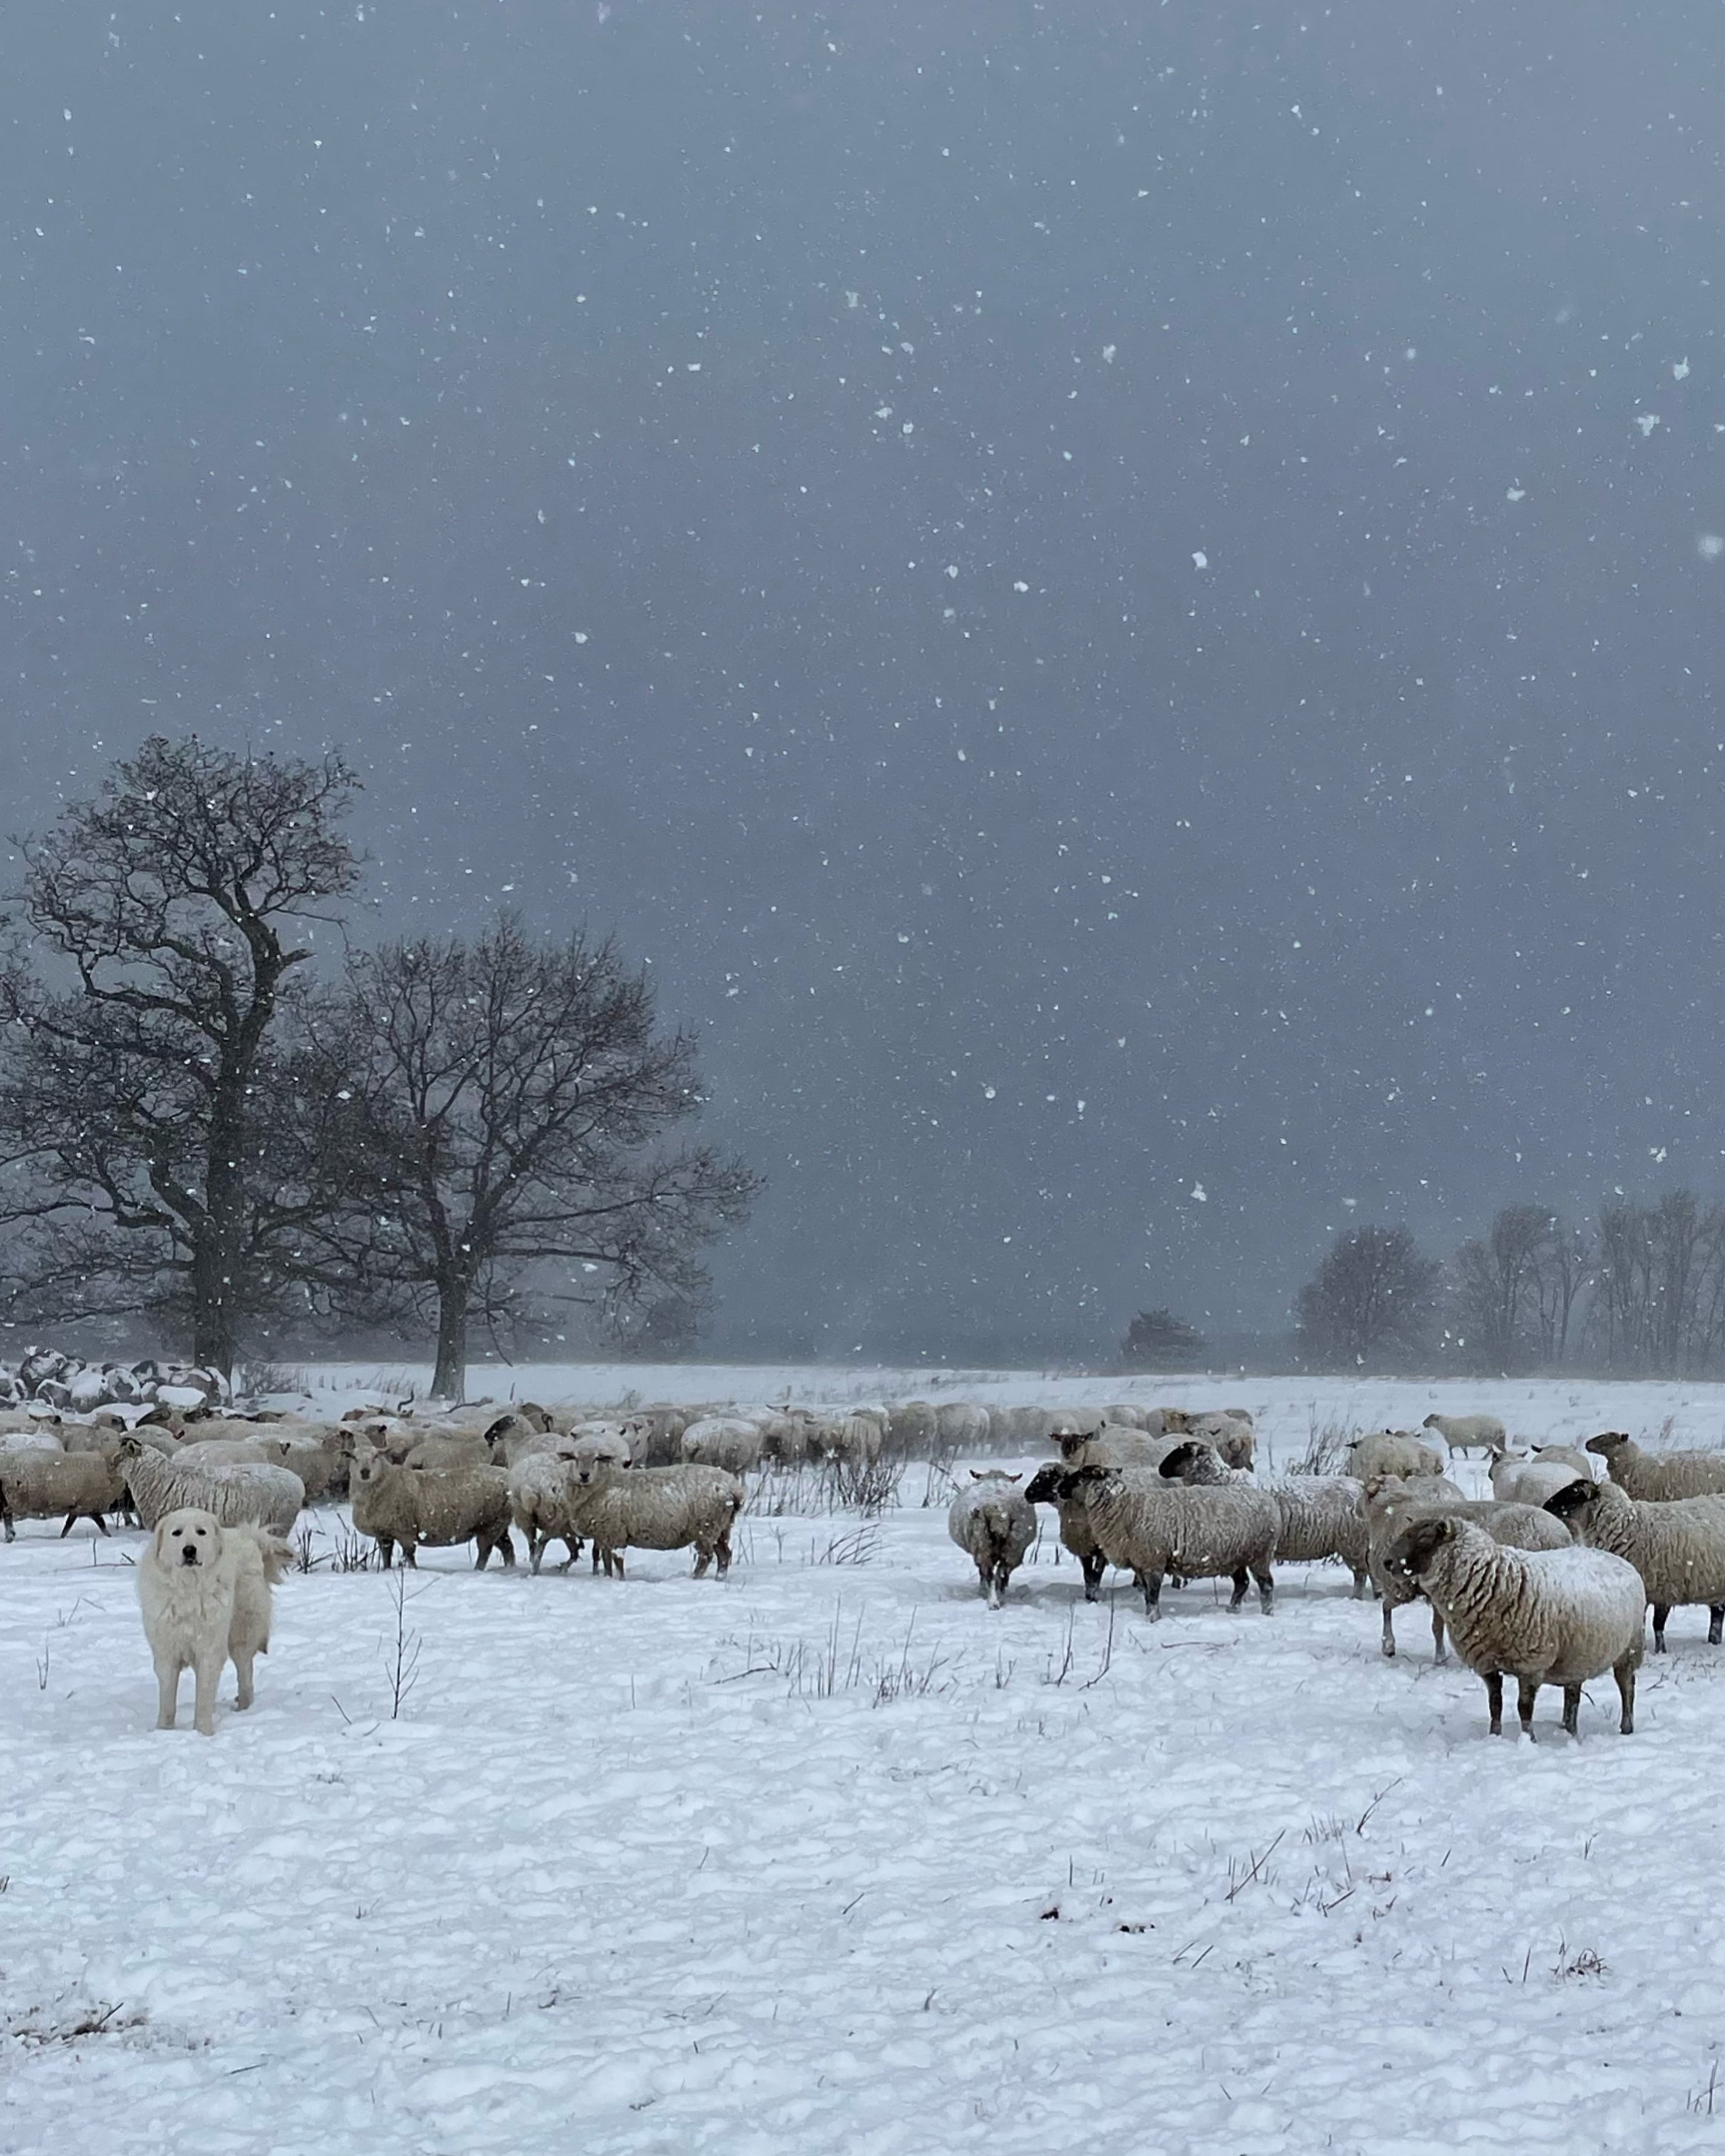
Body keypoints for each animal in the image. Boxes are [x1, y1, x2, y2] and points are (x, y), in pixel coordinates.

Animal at [137, 1518, 289, 1733]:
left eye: (201, 1532)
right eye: (177, 1533)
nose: (189, 1550)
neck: (189, 1591)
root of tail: (249, 1537)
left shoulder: (209, 1651)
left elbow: (204, 1697)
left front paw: (202, 1733)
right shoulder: (167, 1652)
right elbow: (167, 1700)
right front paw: (164, 1731)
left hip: (240, 1635)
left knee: (245, 1676)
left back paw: (244, 1709)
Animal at [949, 1474, 1030, 1612]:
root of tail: (996, 1509)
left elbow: (983, 1574)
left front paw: (982, 1592)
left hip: (983, 1545)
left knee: (990, 1576)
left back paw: (993, 1602)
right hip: (1012, 1549)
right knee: (1002, 1575)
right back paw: (999, 1598)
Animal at [1371, 1509, 1647, 1742]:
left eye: (1424, 1538)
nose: (1388, 1563)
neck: (1493, 1579)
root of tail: (1619, 1560)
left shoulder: (1531, 1663)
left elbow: (1524, 1708)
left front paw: (1528, 1740)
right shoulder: (1486, 1662)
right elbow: (1495, 1704)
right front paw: (1495, 1737)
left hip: (1629, 1648)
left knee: (1627, 1688)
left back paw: (1626, 1728)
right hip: (1576, 1656)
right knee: (1573, 1695)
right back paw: (1569, 1730)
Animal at [1552, 1483, 1725, 1647]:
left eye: (1575, 1492)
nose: (1547, 1505)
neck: (1627, 1527)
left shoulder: (1664, 1588)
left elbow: (1657, 1626)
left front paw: (1660, 1651)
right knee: (1718, 1616)